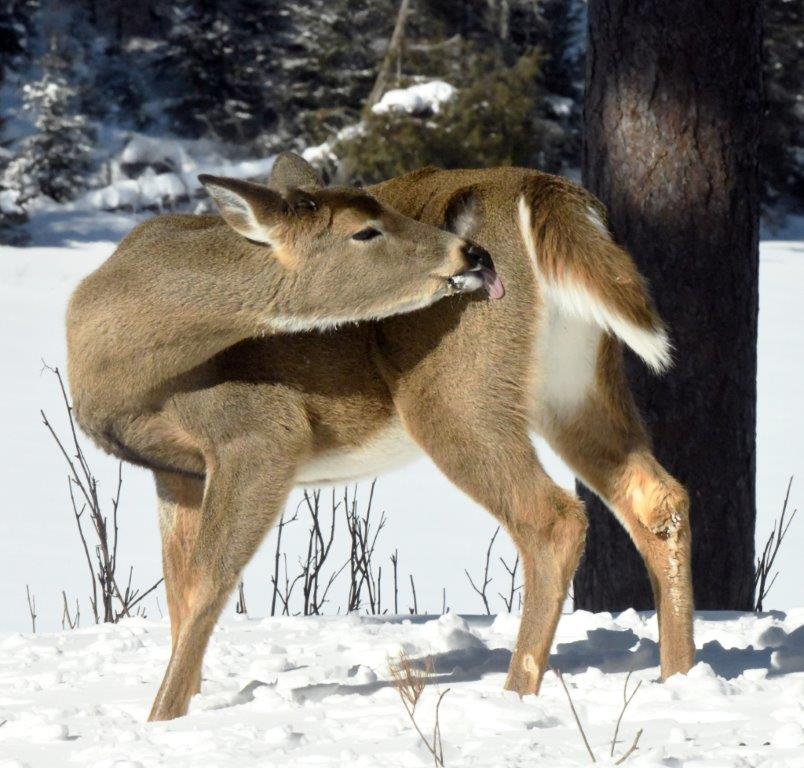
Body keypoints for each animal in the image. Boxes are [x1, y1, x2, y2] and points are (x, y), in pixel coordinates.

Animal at [66, 154, 694, 722]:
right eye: (364, 228)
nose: (472, 254)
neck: (120, 364)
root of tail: (550, 193)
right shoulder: (174, 468)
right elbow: (176, 593)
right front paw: (186, 705)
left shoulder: (259, 432)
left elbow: (203, 586)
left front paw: (161, 718)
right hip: (573, 384)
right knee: (659, 498)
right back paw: (679, 676)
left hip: (454, 390)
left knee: (553, 518)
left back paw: (516, 693)